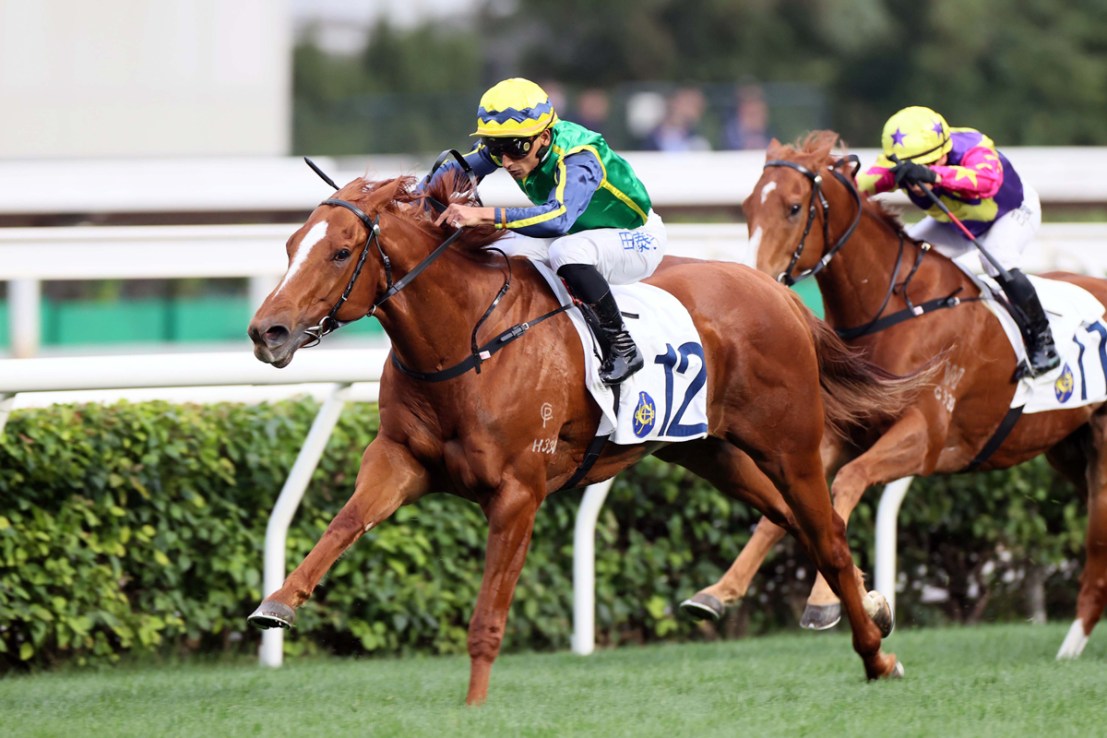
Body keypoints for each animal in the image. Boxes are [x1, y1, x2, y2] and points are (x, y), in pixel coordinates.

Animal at [244, 166, 929, 703]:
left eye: (339, 252)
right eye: (290, 244)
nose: (266, 331)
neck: (467, 344)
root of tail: (776, 292)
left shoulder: (518, 492)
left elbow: (488, 616)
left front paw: (474, 706)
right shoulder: (400, 459)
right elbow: (344, 522)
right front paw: (278, 601)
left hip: (790, 444)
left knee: (827, 537)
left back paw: (874, 655)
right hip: (710, 451)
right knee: (797, 523)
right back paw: (873, 614)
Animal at [680, 131, 1107, 660]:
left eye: (795, 207)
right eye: (746, 206)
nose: (747, 278)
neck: (898, 310)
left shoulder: (925, 438)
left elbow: (848, 482)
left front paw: (825, 603)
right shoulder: (839, 433)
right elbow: (785, 513)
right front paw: (716, 594)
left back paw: (1070, 645)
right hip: (1069, 453)